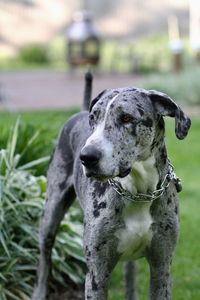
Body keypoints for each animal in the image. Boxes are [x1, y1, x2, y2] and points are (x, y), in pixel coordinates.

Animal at [32, 73, 191, 300]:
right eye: (94, 118)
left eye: (126, 118)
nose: (86, 157)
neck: (139, 191)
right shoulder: (96, 274)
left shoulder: (162, 269)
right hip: (50, 214)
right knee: (45, 257)